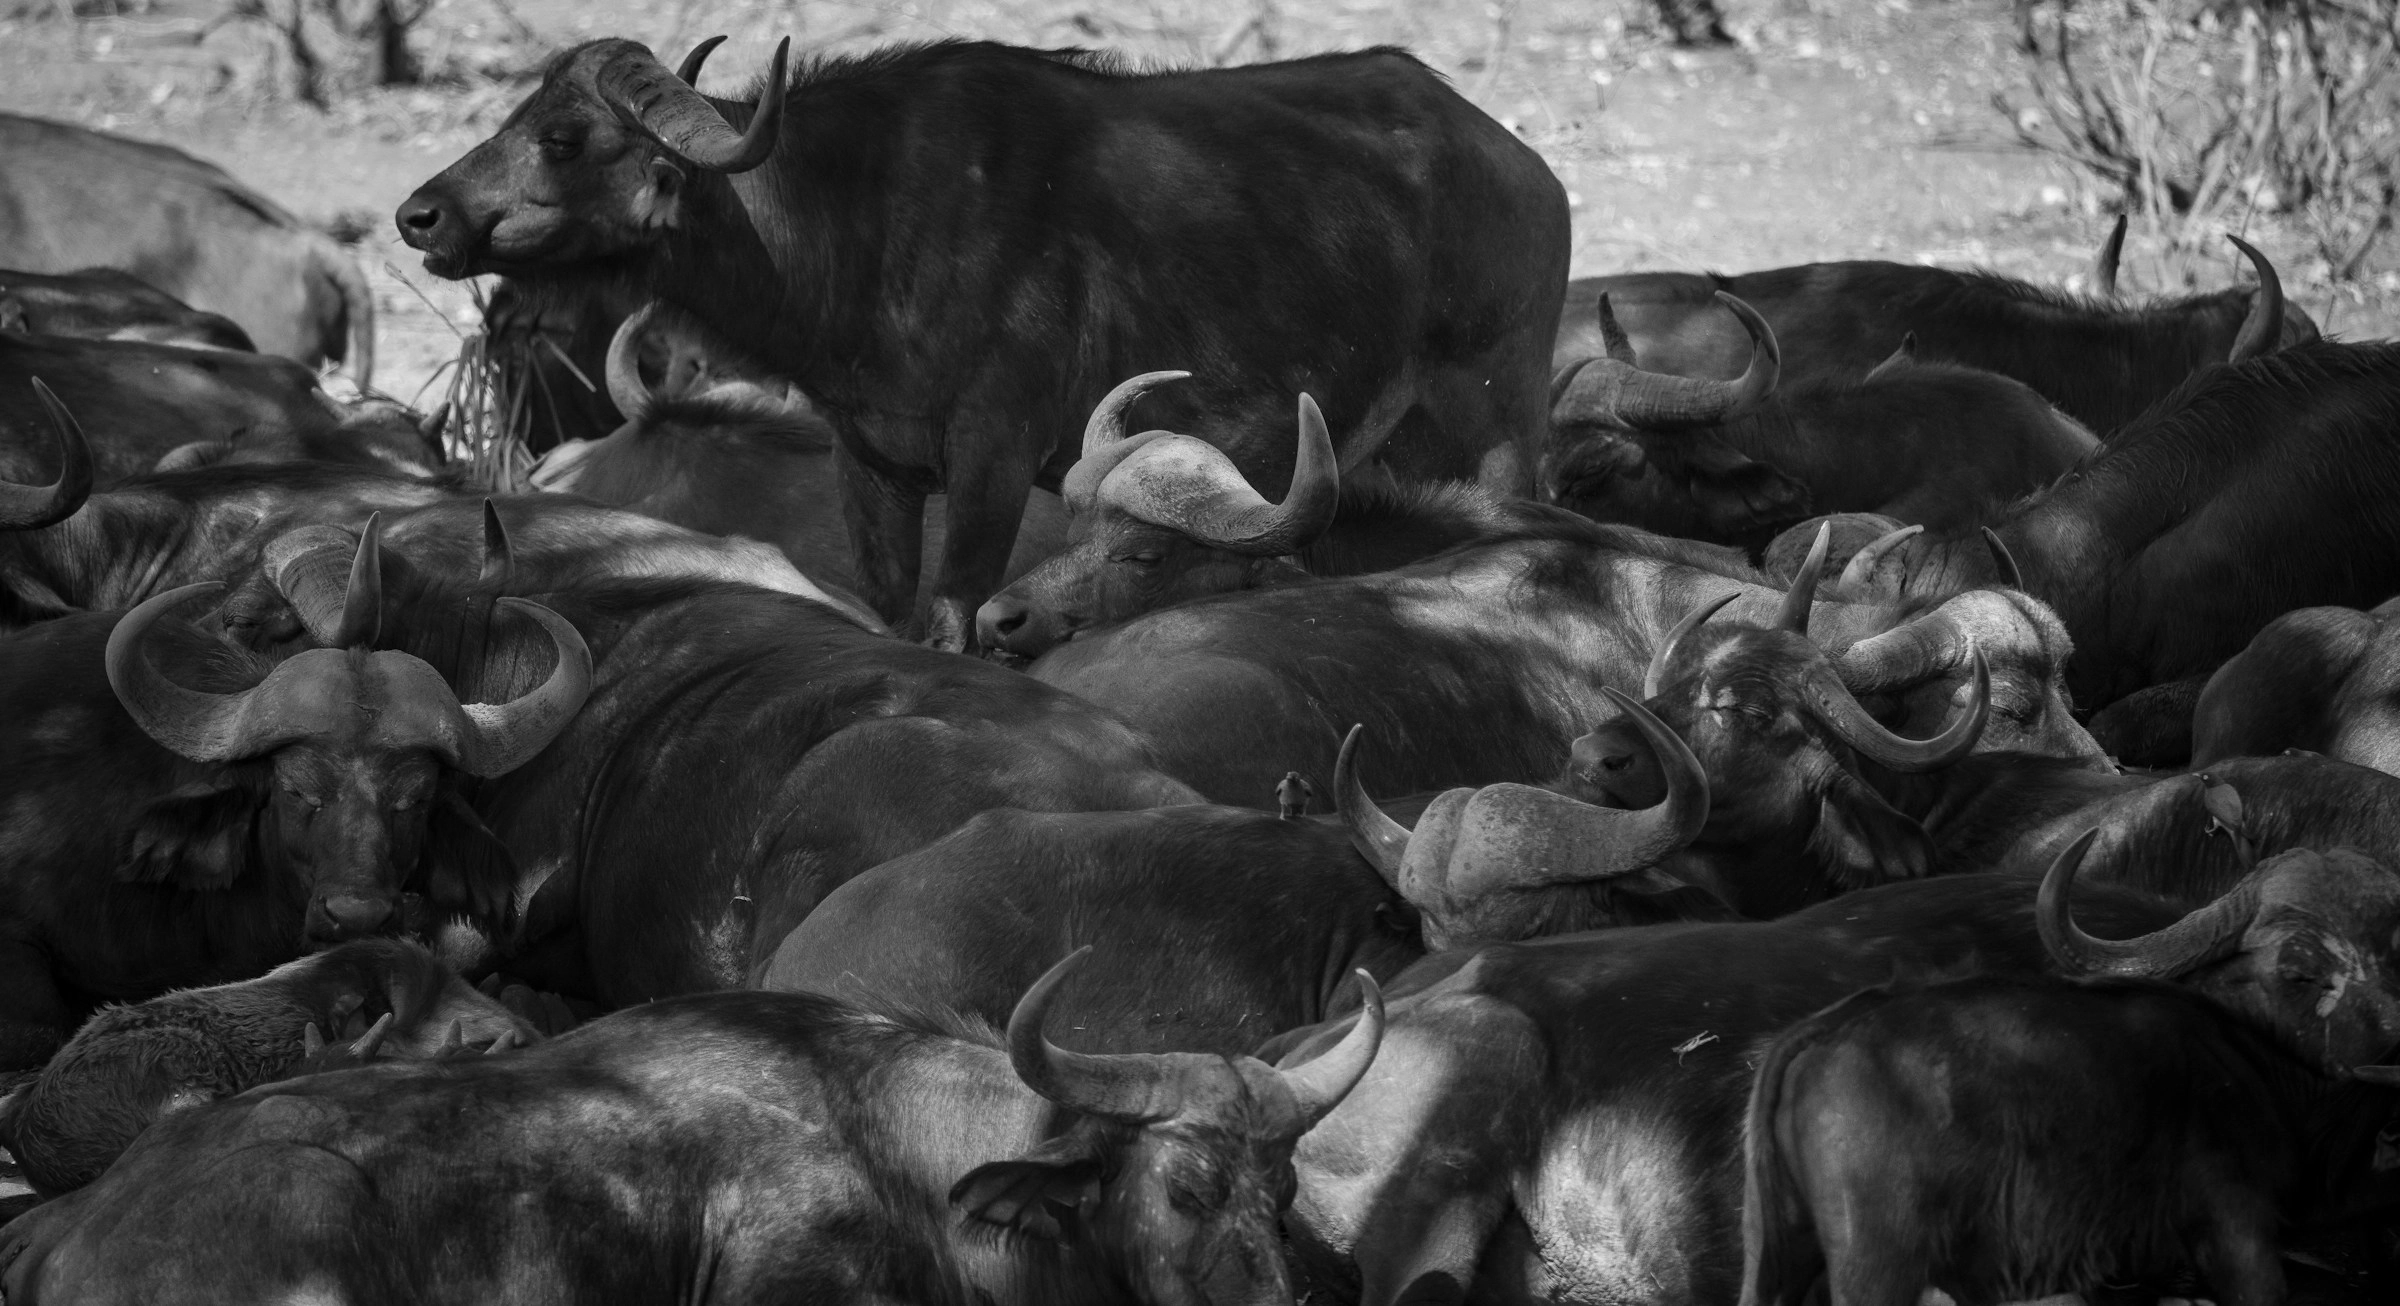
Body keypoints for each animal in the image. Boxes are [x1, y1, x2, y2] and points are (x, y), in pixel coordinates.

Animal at [397, 37, 1567, 647]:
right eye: (514, 115)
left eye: (563, 137)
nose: (418, 216)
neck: (865, 224)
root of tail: (1520, 167)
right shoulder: (869, 461)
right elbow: (892, 606)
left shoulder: (995, 459)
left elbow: (959, 608)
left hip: (1500, 425)